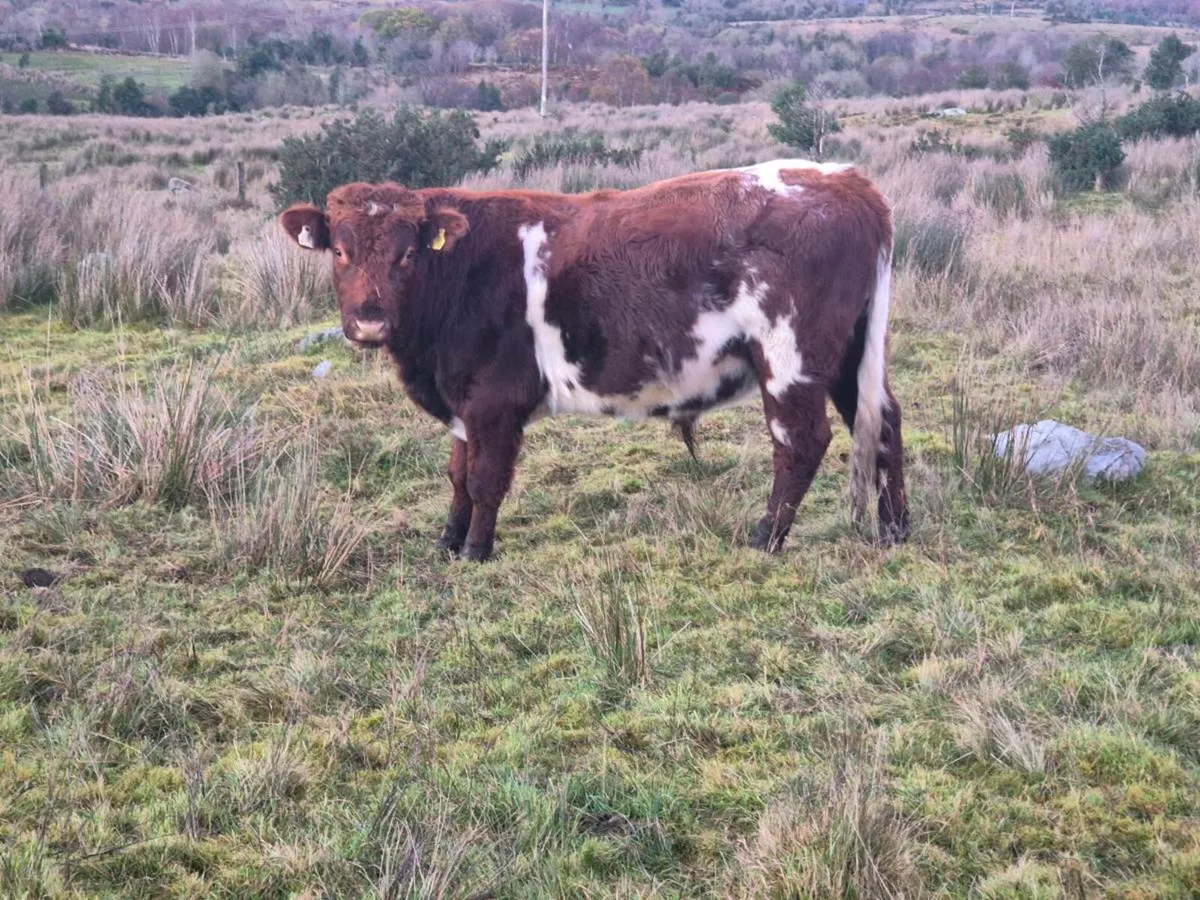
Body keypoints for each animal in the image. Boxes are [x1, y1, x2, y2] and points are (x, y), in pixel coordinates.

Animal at [280, 159, 910, 562]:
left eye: (408, 253)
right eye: (340, 251)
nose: (369, 321)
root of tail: (844, 180)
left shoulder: (494, 402)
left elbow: (485, 480)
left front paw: (476, 550)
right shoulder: (463, 403)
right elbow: (458, 475)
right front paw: (448, 541)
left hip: (790, 358)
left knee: (801, 441)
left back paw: (765, 538)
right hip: (849, 356)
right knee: (883, 423)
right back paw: (895, 529)